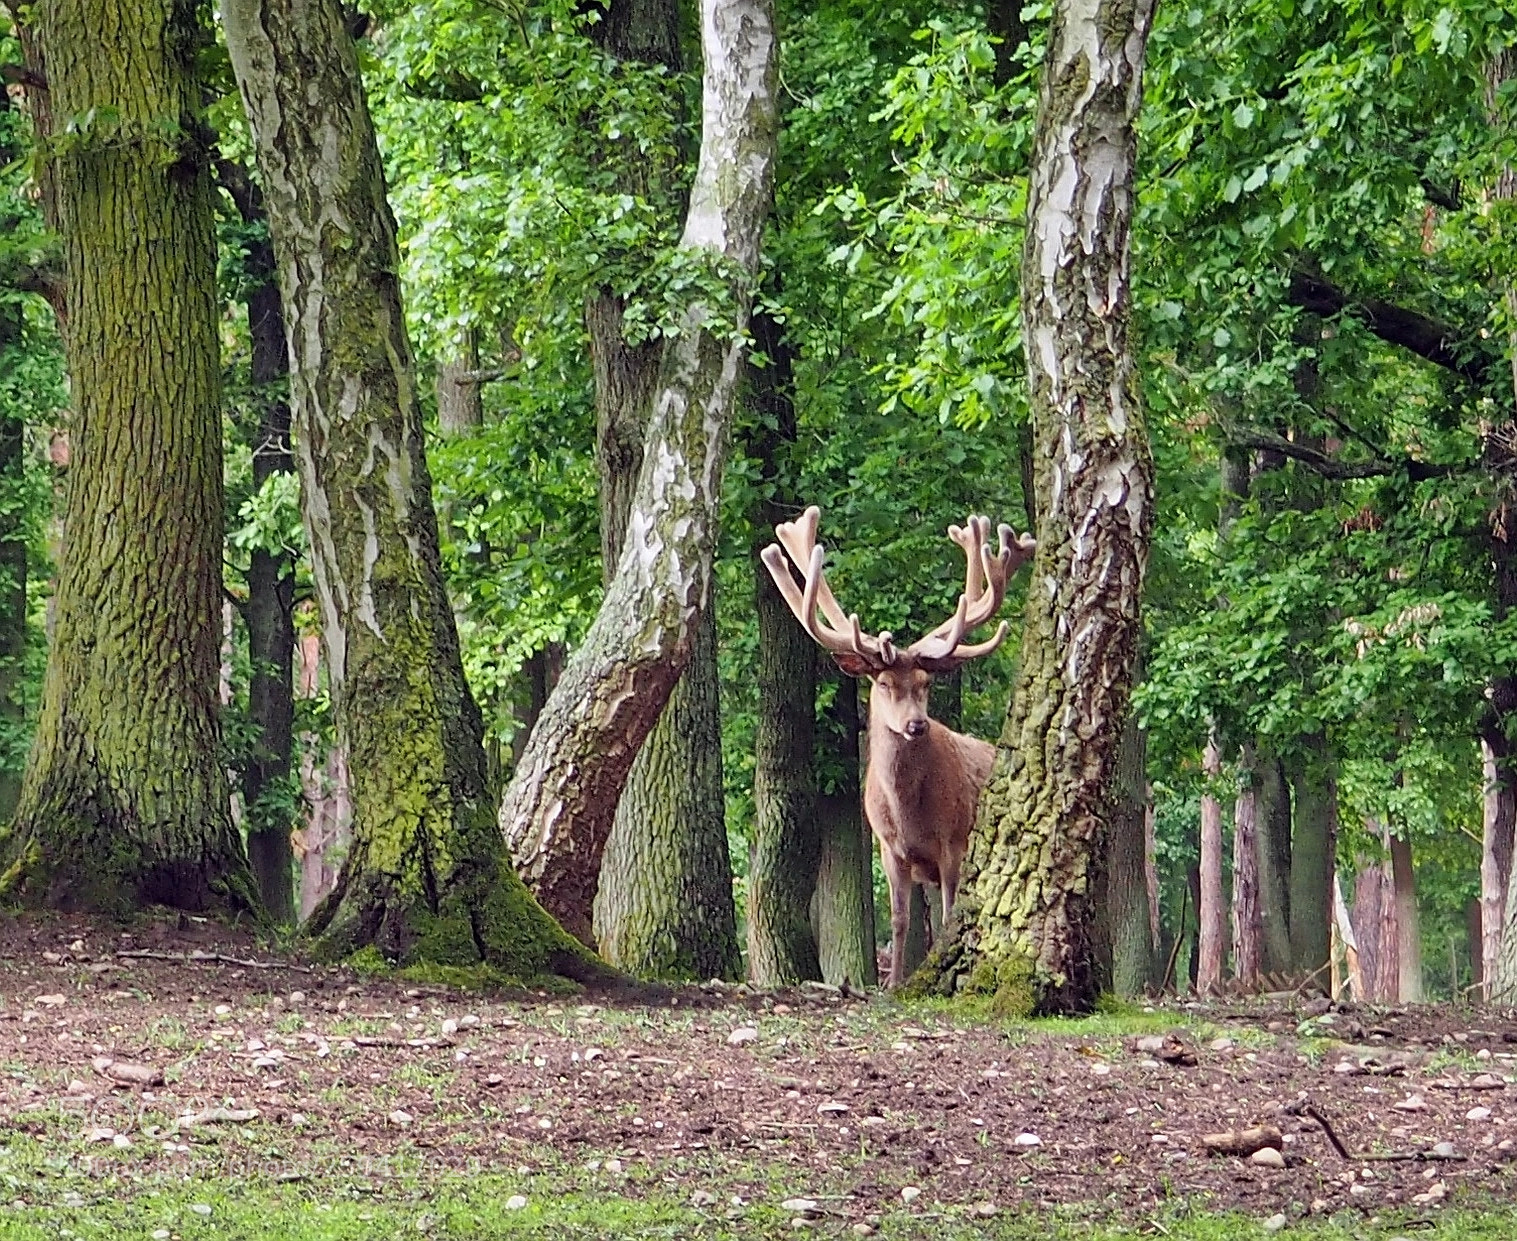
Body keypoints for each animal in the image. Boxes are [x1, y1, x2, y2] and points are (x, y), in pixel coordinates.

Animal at [761, 507, 1035, 987]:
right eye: (884, 683)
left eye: (926, 683)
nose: (916, 724)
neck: (910, 814)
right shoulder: (889, 848)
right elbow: (900, 918)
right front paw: (892, 984)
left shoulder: (953, 841)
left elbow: (947, 916)